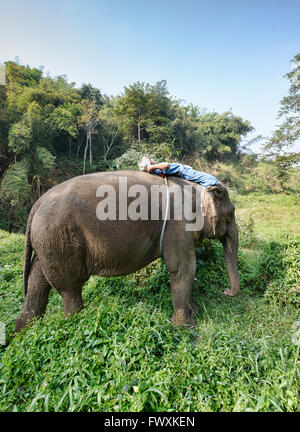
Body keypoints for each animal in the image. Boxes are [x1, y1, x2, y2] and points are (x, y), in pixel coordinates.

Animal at [15, 170, 239, 332]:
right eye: (231, 215)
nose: (227, 292)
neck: (196, 187)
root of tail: (36, 204)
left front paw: (195, 312)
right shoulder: (178, 225)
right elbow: (183, 269)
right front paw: (185, 329)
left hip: (47, 245)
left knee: (37, 283)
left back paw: (23, 334)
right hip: (60, 242)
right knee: (70, 289)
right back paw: (73, 325)